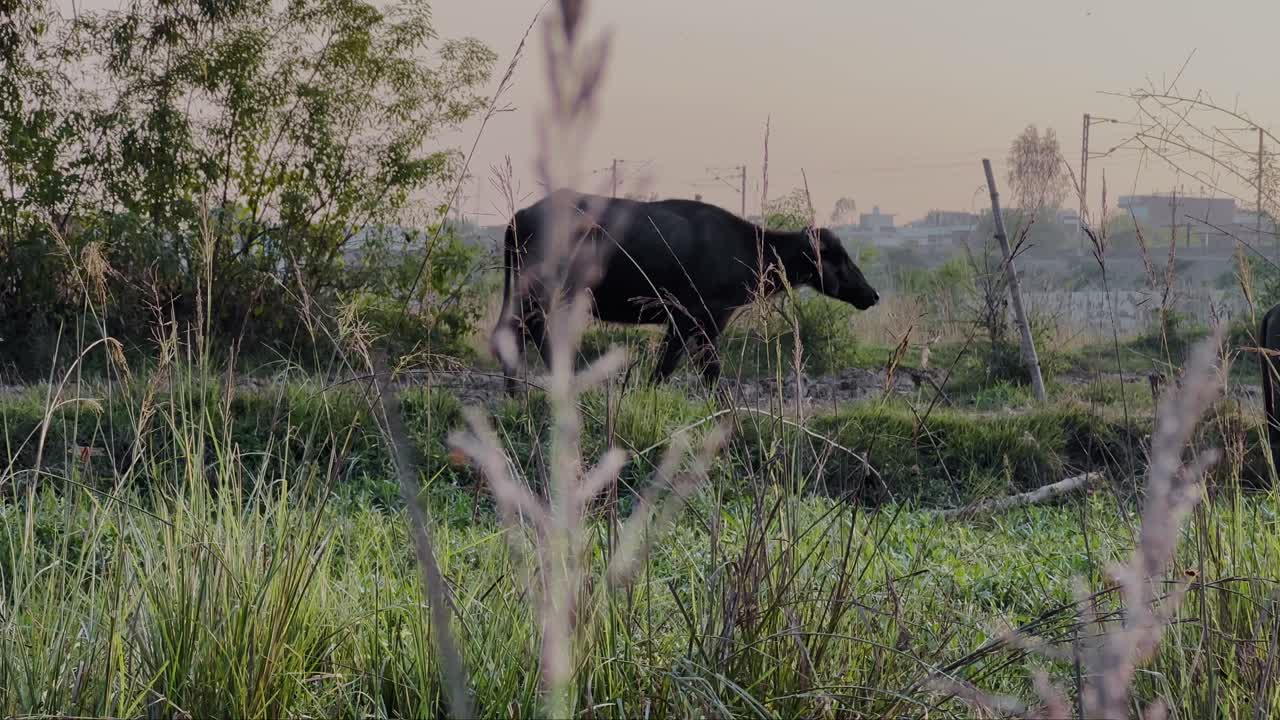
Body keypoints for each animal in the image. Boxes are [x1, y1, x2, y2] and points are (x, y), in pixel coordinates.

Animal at [491, 189, 880, 393]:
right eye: (839, 257)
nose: (872, 294)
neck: (745, 248)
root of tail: (520, 216)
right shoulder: (692, 317)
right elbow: (687, 365)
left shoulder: (700, 322)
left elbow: (693, 366)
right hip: (541, 291)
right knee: (528, 329)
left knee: (516, 331)